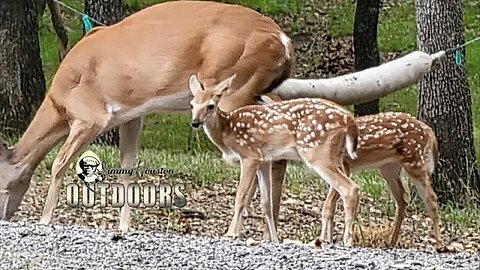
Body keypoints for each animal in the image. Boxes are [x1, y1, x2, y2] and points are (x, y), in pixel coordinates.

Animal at [188, 73, 360, 245]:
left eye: (210, 106)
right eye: (192, 105)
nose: (194, 122)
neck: (227, 131)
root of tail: (349, 119)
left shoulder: (250, 155)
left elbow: (241, 196)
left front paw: (230, 234)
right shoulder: (264, 160)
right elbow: (266, 203)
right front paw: (274, 239)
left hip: (316, 152)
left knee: (350, 188)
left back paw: (347, 241)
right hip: (335, 155)